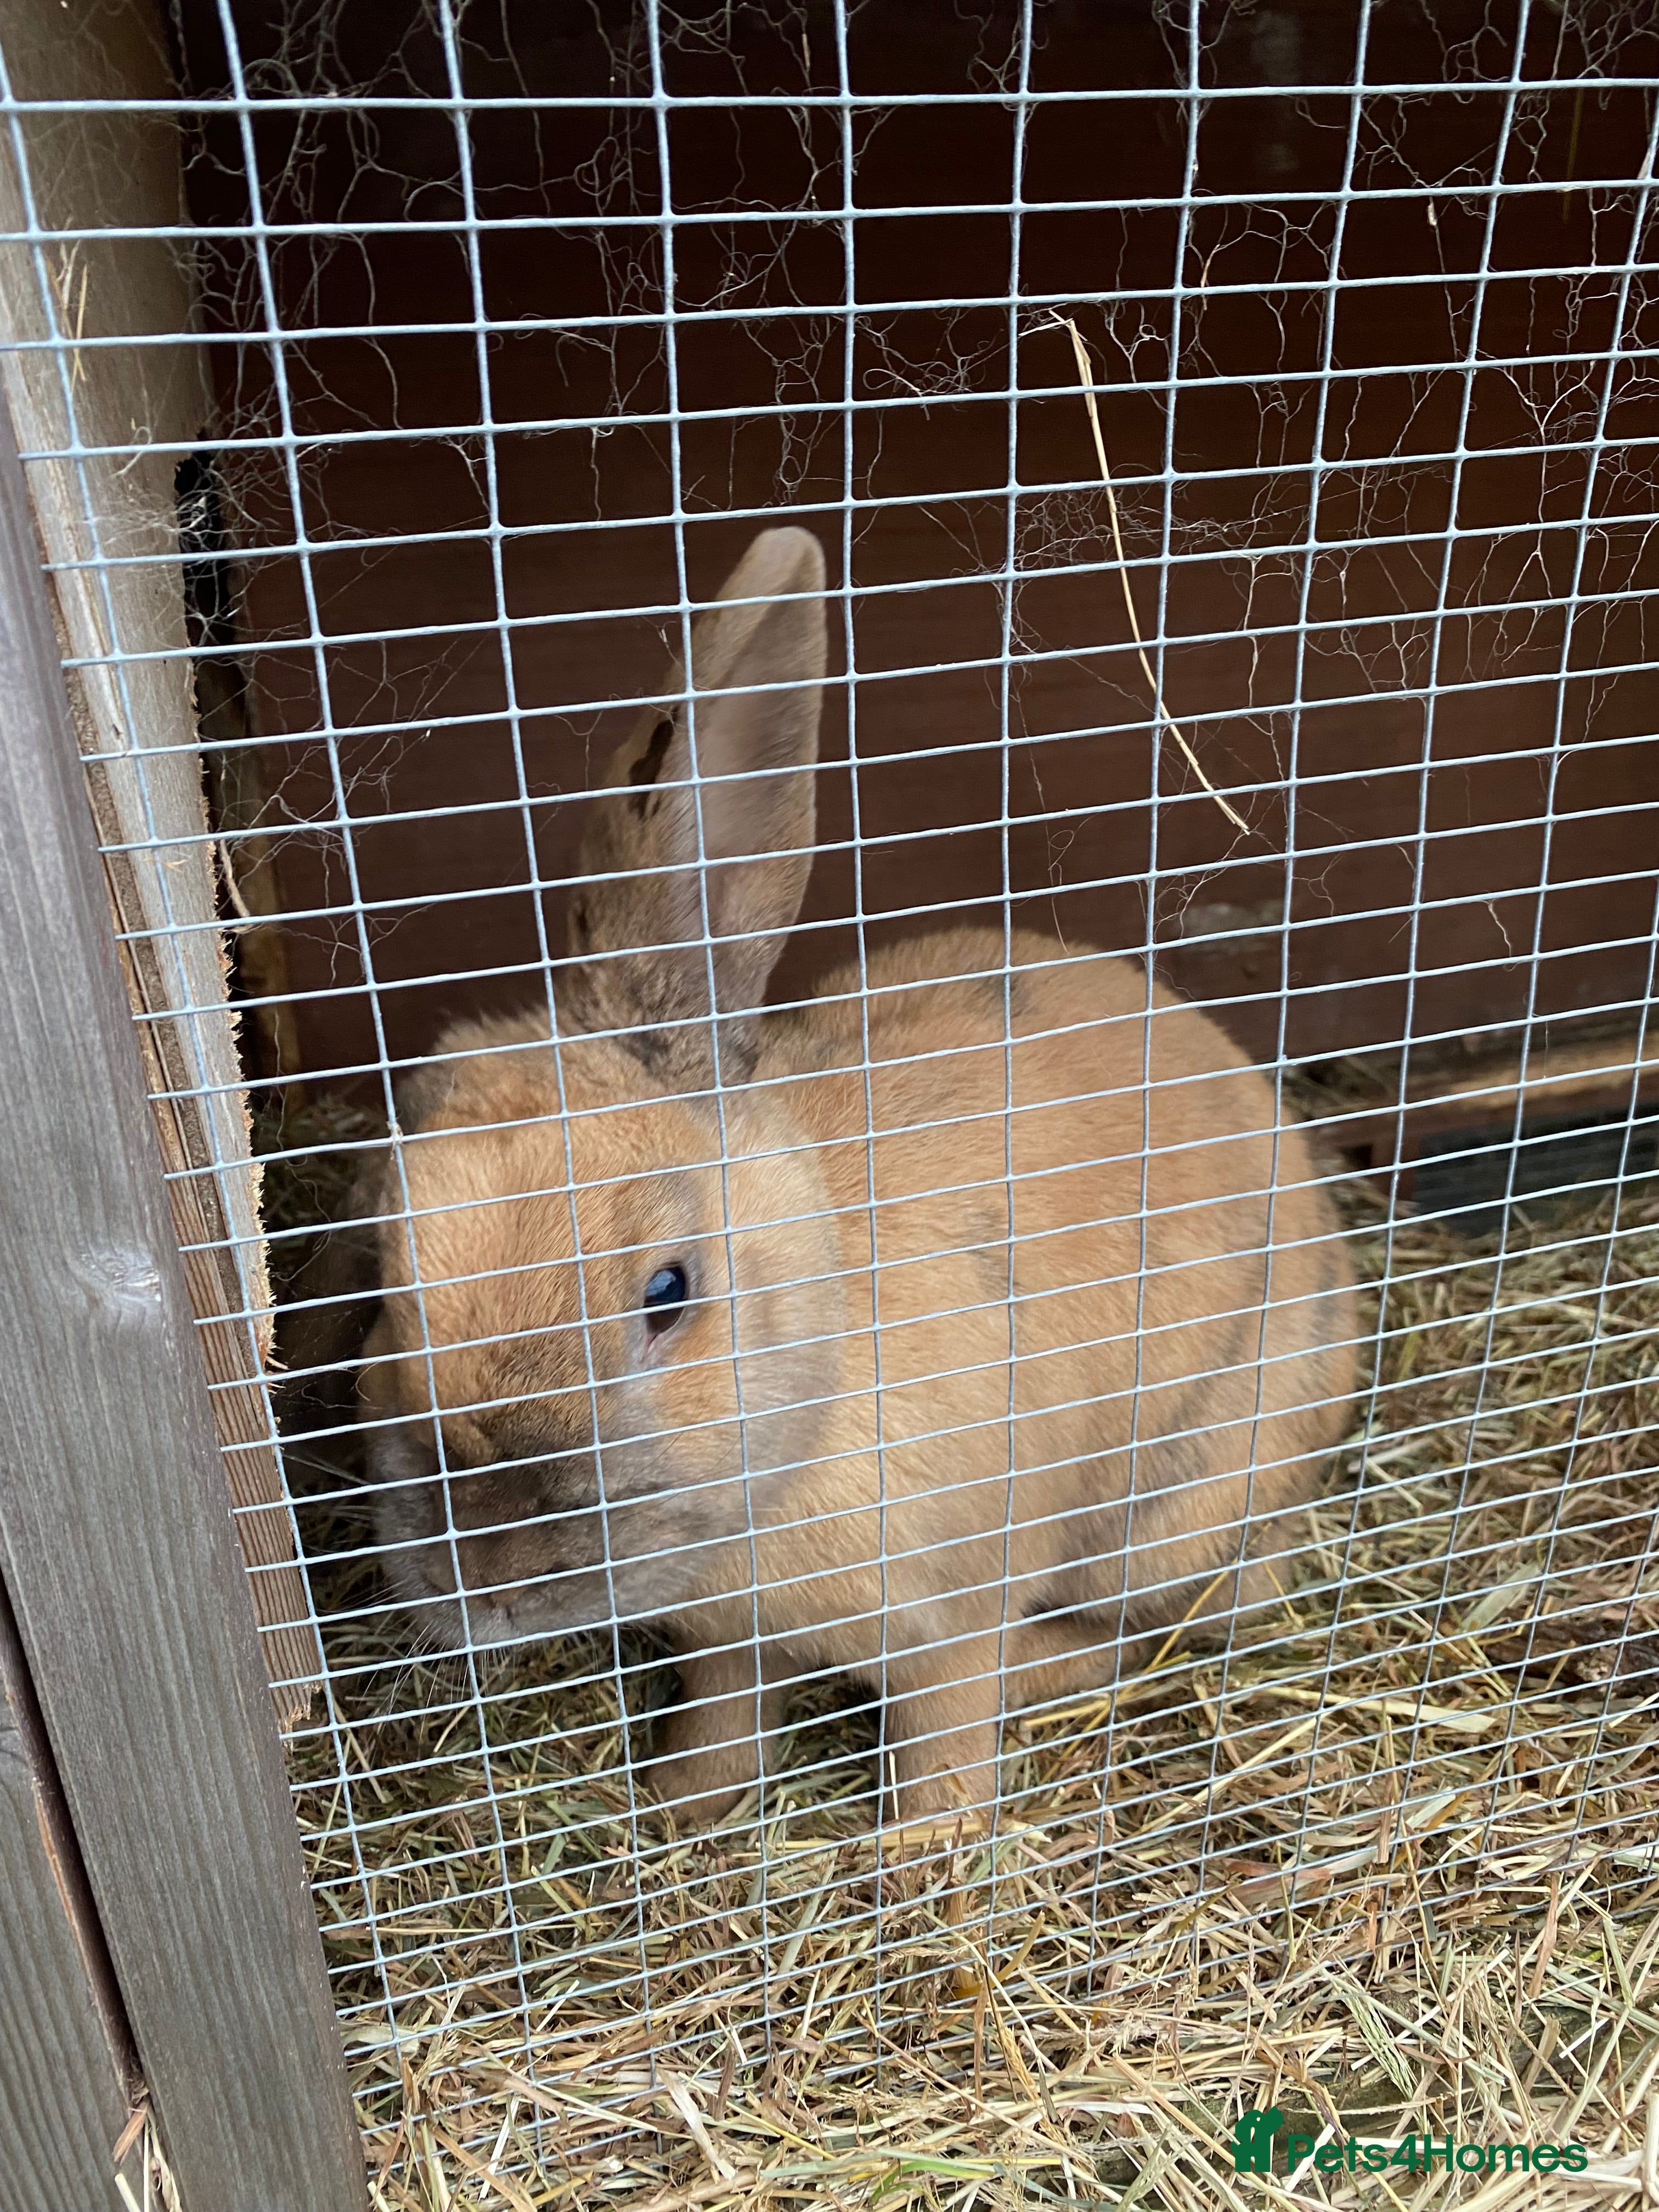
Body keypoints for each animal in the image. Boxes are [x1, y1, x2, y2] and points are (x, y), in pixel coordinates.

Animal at [358, 525, 1359, 1829]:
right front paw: (690, 1808)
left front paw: (927, 1858)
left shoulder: (958, 1605)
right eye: (380, 1282)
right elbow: (728, 1711)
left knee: (1166, 1623)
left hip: (1190, 1494)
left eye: (668, 1292)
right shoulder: (726, 1634)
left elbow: (946, 1730)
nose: (485, 1573)